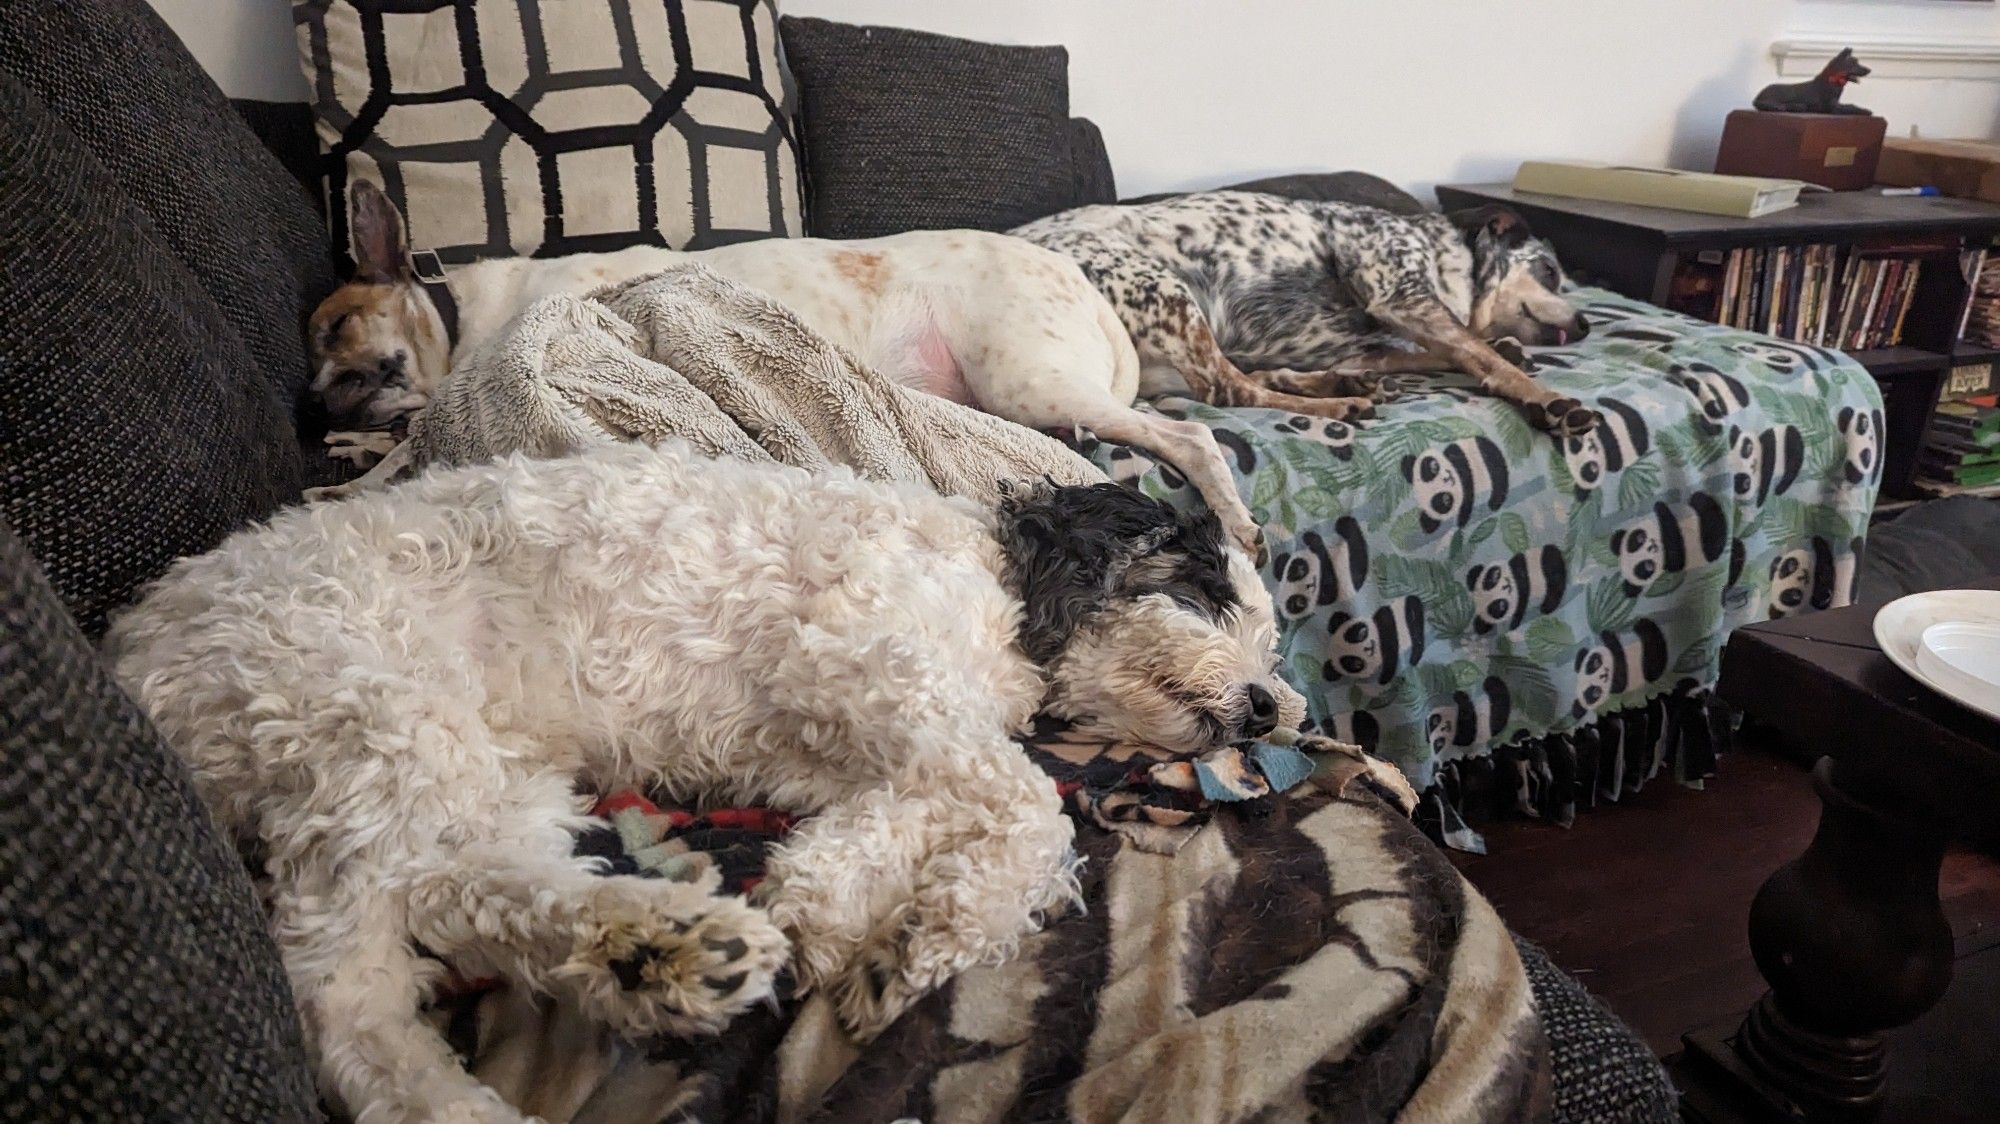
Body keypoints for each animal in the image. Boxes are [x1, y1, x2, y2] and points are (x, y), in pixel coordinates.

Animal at [1024, 190, 1600, 436]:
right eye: (1550, 270)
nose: (1586, 323)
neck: (1444, 256)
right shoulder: (1402, 296)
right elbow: (1475, 352)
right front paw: (1546, 399)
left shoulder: (1366, 335)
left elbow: (1450, 352)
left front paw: (1507, 352)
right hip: (1167, 291)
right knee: (1229, 389)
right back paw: (1340, 405)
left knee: (1243, 377)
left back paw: (1341, 386)